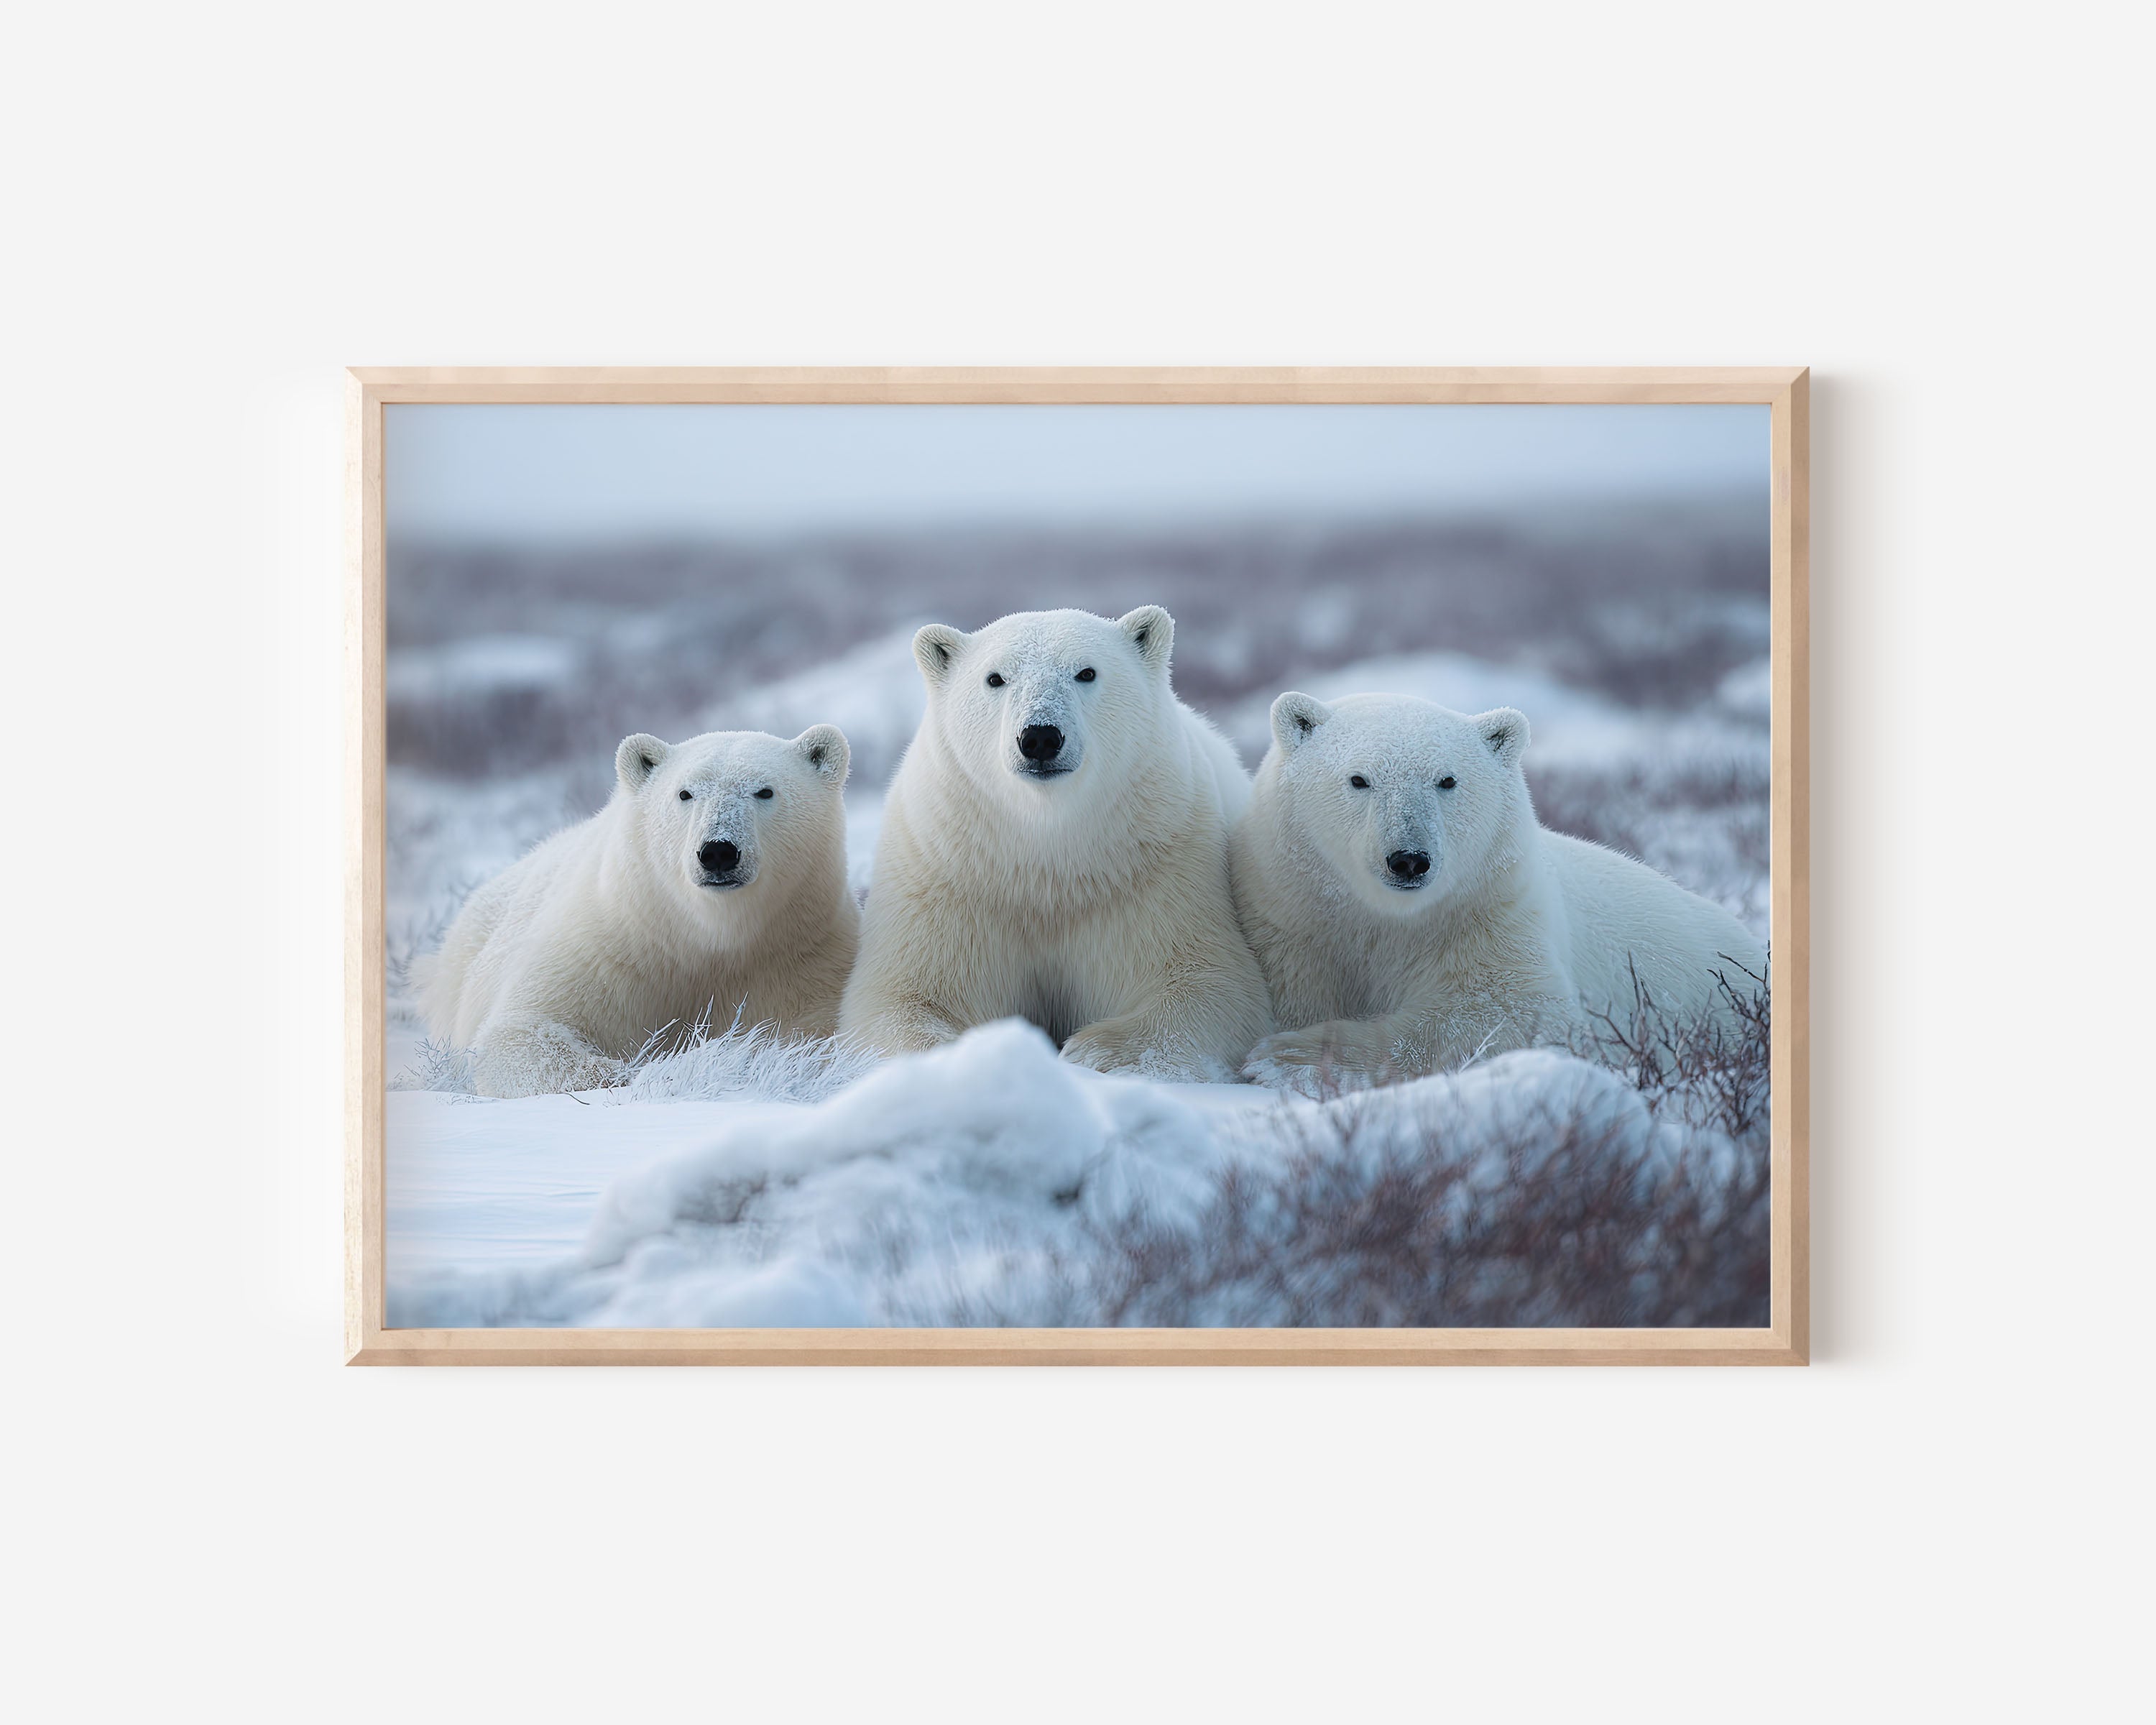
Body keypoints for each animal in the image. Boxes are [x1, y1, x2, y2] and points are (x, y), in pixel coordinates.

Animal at [416, 726, 860, 1099]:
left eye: (765, 791)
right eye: (685, 793)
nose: (718, 851)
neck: (708, 936)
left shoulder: (798, 957)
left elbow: (817, 1034)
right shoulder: (607, 947)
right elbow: (520, 1032)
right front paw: (645, 1071)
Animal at [837, 605, 1271, 1082]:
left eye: (1086, 672)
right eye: (995, 678)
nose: (1040, 737)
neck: (1047, 855)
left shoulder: (1156, 863)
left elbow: (1211, 980)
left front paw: (1091, 1053)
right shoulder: (949, 873)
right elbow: (899, 995)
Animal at [1229, 691, 1766, 1094]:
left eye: (1447, 780)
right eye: (1359, 779)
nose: (1409, 858)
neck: (1391, 918)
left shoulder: (1490, 913)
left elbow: (1509, 1015)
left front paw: (1287, 1057)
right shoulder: (1298, 921)